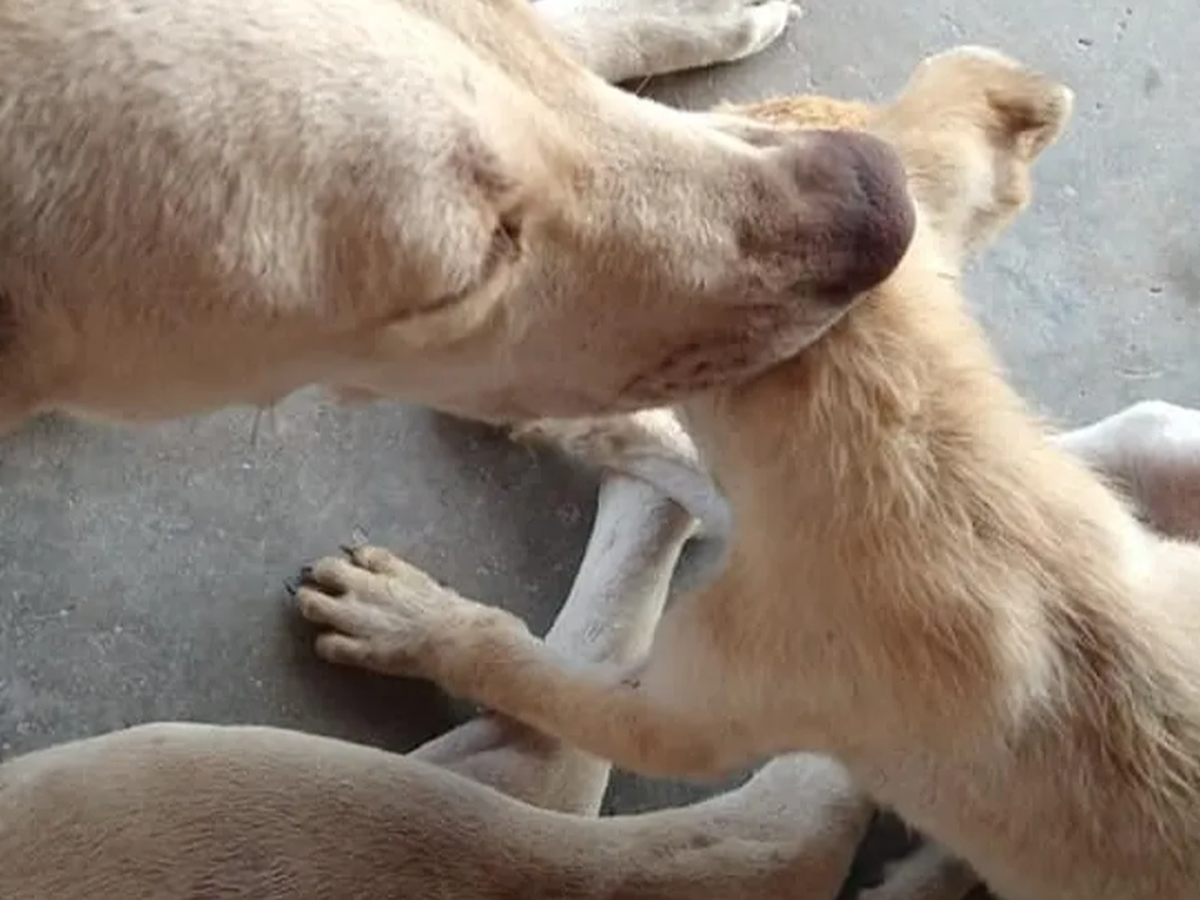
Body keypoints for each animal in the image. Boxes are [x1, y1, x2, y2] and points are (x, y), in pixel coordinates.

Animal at [294, 47, 1200, 899]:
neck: (923, 453)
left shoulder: (678, 711)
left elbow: (512, 659)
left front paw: (408, 619)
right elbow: (680, 460)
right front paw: (570, 425)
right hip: (1164, 441)